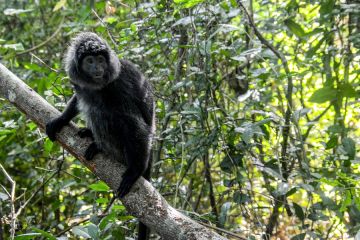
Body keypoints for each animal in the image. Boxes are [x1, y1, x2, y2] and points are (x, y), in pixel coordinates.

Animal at [45, 32, 154, 240]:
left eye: (101, 60)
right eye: (90, 60)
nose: (98, 67)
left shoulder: (118, 85)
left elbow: (134, 123)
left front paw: (135, 170)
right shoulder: (79, 83)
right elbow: (78, 98)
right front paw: (61, 119)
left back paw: (101, 146)